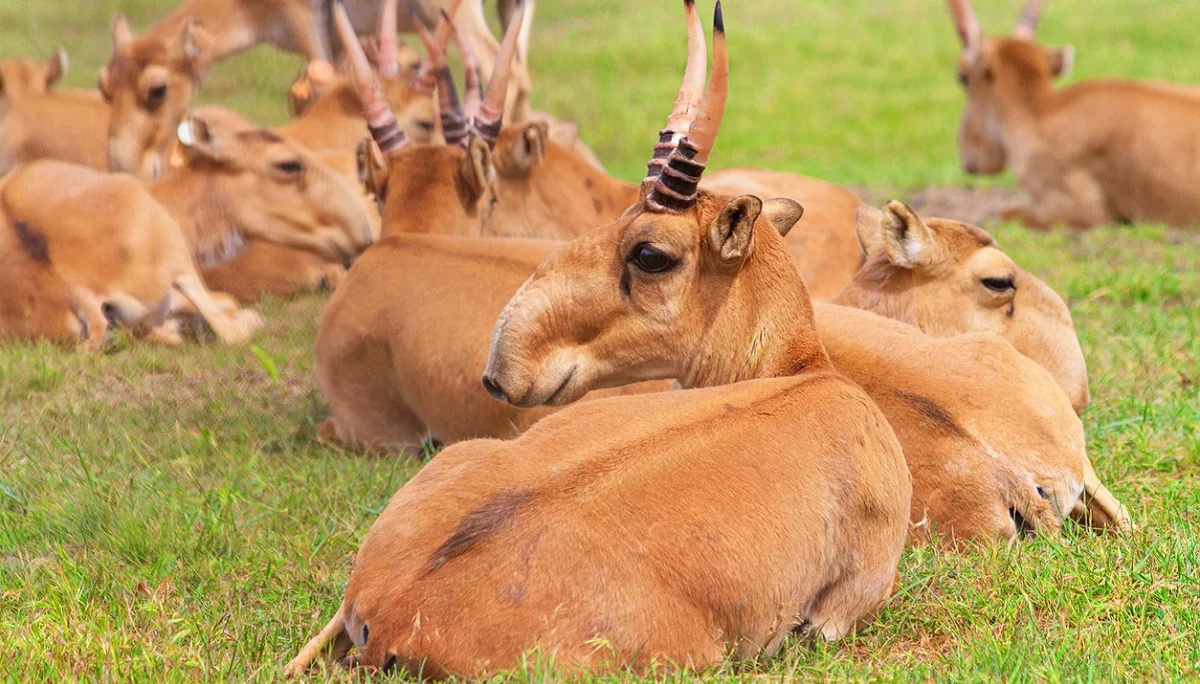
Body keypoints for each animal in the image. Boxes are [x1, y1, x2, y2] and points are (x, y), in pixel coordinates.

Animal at [100, 0, 532, 178]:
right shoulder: (343, 39)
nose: (124, 165)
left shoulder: (307, 23)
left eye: (157, 89)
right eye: (103, 86)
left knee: (504, 69)